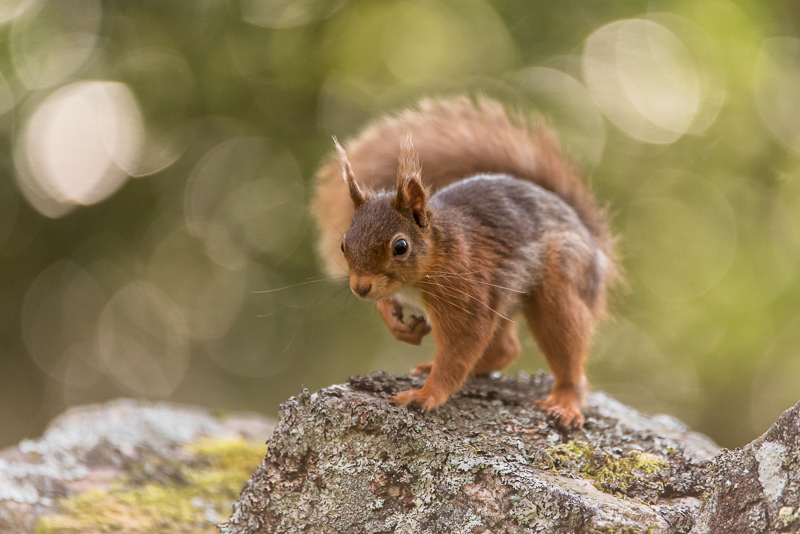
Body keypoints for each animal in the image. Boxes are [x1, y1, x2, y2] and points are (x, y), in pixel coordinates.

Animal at [312, 96, 617, 428]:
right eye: (344, 244)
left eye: (401, 247)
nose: (360, 288)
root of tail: (591, 240)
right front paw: (399, 325)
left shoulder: (465, 293)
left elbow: (461, 346)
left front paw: (425, 395)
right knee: (506, 348)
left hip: (560, 281)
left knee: (565, 347)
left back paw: (565, 402)